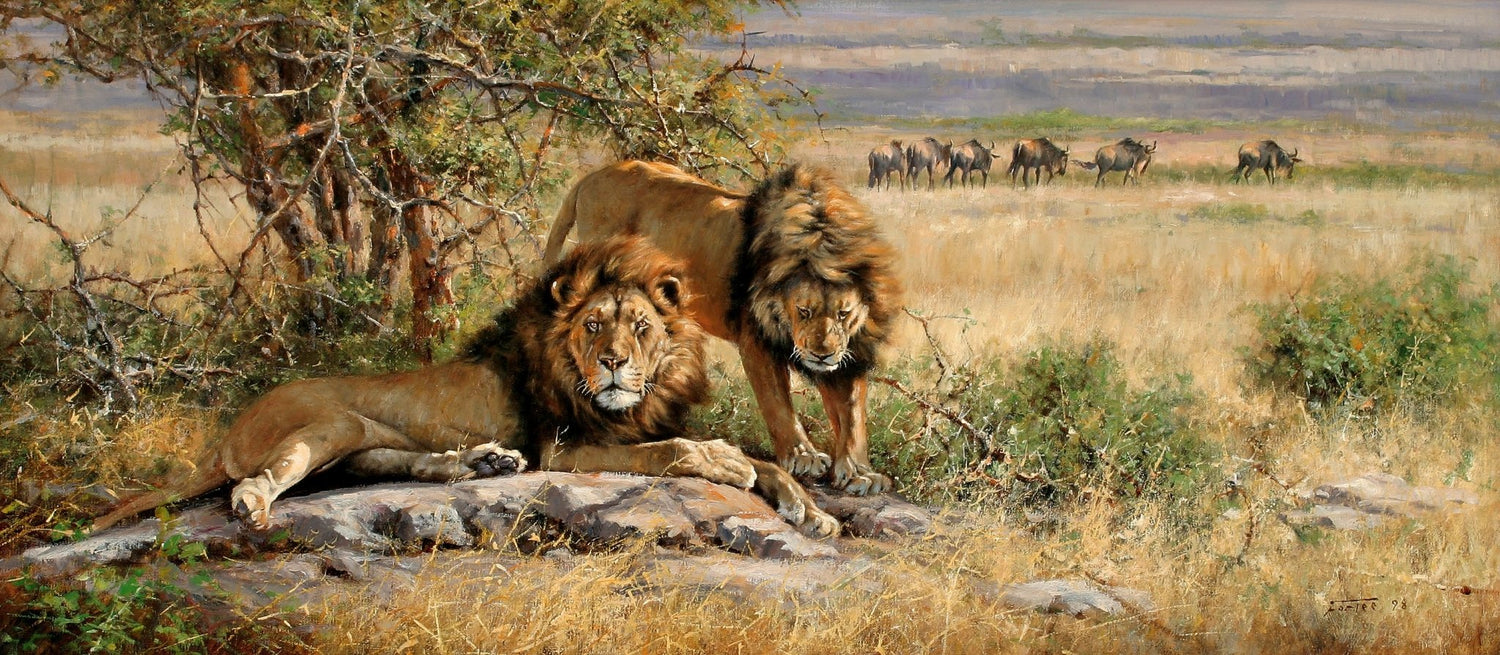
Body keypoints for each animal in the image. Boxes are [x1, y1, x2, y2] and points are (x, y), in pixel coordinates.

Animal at [93, 237, 838, 537]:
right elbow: (679, 450)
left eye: (642, 327)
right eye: (593, 324)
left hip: (359, 441)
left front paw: (814, 511)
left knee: (401, 462)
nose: (613, 363)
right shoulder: (564, 448)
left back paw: (484, 461)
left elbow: (767, 460)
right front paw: (726, 462)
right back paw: (250, 504)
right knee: (264, 477)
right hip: (329, 423)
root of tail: (224, 434)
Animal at [544, 162, 901, 495]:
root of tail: (593, 176)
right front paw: (803, 456)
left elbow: (853, 414)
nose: (821, 355)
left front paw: (860, 473)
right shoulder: (755, 340)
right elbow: (778, 405)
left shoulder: (850, 352)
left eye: (843, 313)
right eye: (803, 310)